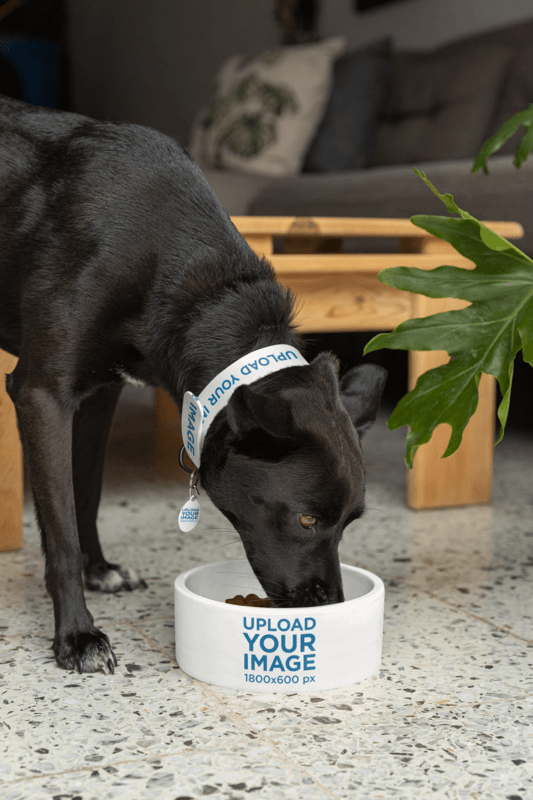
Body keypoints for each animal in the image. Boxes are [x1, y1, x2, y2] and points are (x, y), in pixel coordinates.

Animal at [0, 95, 384, 676]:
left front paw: (100, 569)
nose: (331, 606)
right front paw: (78, 636)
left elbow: (85, 491)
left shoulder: (100, 397)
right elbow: (60, 527)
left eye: (348, 523)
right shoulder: (43, 394)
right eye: (306, 518)